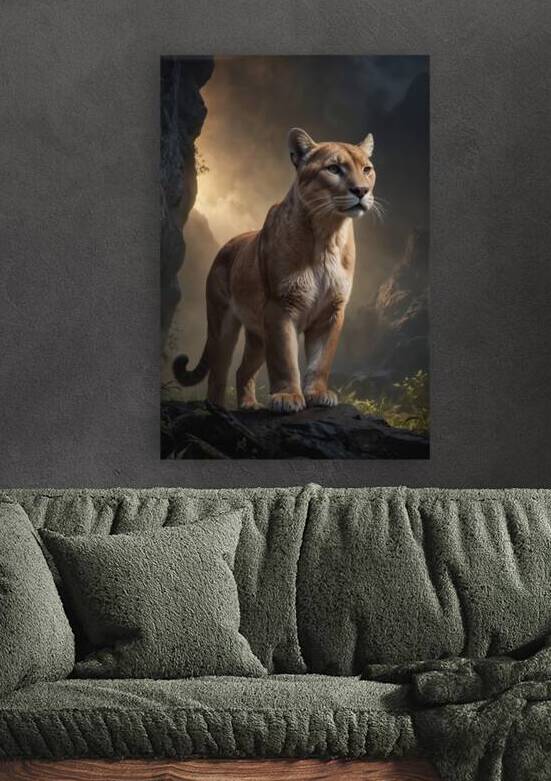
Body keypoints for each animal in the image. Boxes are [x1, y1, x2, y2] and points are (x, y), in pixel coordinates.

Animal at [173, 127, 378, 413]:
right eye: (334, 168)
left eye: (367, 169)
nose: (361, 190)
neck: (327, 234)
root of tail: (228, 243)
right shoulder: (280, 306)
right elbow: (284, 359)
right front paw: (288, 397)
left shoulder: (331, 310)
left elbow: (321, 359)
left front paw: (318, 394)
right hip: (222, 324)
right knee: (219, 371)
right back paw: (216, 409)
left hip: (258, 335)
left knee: (242, 370)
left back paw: (249, 405)